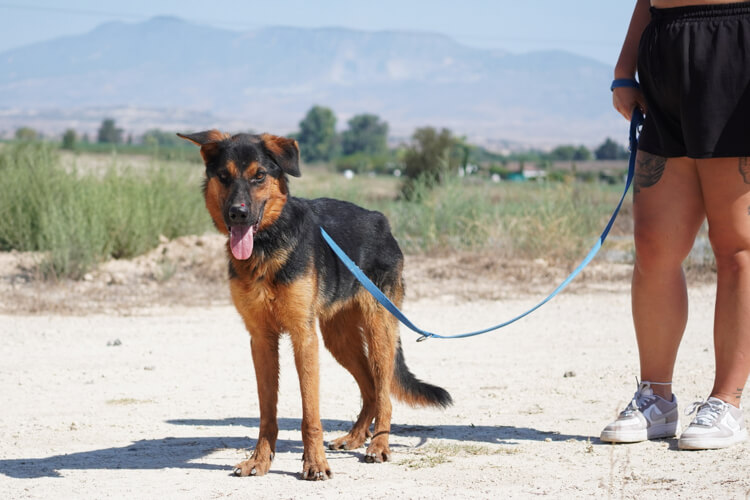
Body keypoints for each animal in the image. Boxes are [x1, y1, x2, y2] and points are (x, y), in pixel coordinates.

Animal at [179, 130, 452, 480]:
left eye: (259, 176)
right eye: (224, 177)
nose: (237, 213)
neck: (268, 243)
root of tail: (381, 221)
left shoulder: (303, 338)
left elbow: (310, 413)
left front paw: (314, 464)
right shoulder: (261, 340)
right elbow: (267, 411)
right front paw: (260, 460)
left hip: (378, 333)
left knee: (383, 392)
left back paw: (378, 445)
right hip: (339, 339)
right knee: (369, 389)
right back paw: (355, 437)